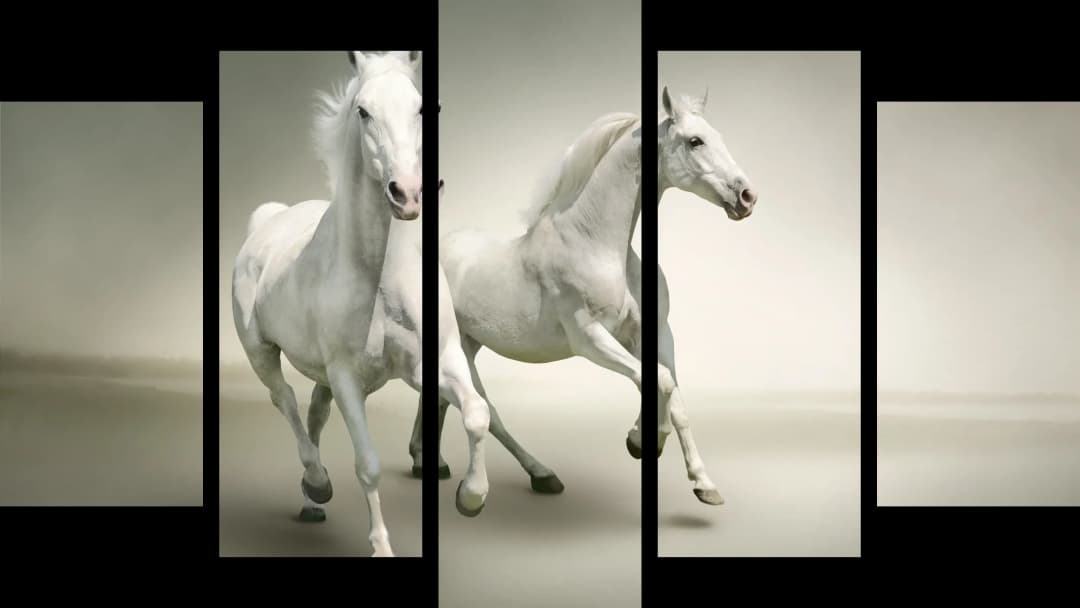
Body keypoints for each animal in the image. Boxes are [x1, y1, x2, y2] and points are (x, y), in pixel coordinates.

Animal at [232, 50, 442, 557]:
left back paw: (311, 499)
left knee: (313, 413)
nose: (407, 193)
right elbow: (368, 464)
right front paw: (381, 546)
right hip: (260, 351)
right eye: (363, 111)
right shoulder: (347, 378)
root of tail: (267, 220)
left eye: (420, 107)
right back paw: (316, 483)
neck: (375, 275)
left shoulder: (424, 363)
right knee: (284, 399)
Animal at [413, 86, 755, 507]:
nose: (747, 196)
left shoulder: (653, 332)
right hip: (459, 347)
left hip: (467, 343)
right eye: (695, 141)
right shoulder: (589, 338)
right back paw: (529, 475)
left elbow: (672, 392)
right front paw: (643, 441)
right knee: (482, 408)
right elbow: (658, 381)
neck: (596, 243)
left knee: (442, 399)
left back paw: (435, 463)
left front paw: (702, 483)